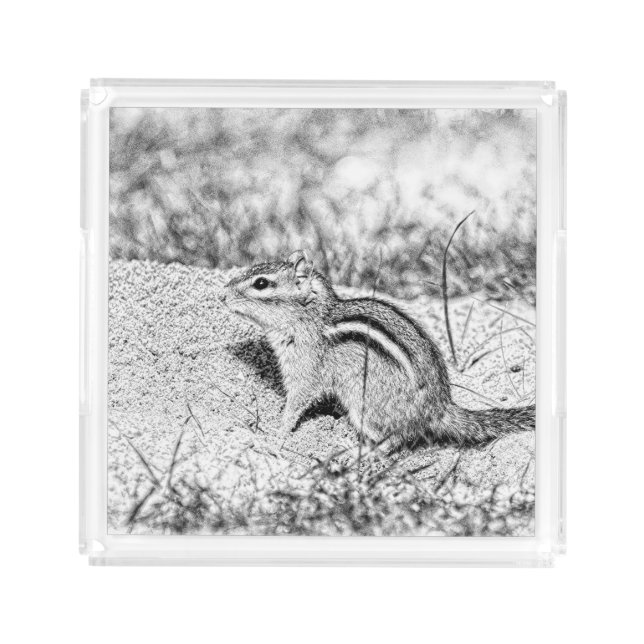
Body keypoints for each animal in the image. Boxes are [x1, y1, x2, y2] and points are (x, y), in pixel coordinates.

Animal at [222, 250, 535, 453]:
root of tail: (439, 409)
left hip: (365, 406)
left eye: (261, 283)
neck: (311, 317)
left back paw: (355, 452)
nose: (222, 295)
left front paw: (276, 432)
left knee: (393, 442)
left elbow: (297, 402)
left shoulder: (305, 370)